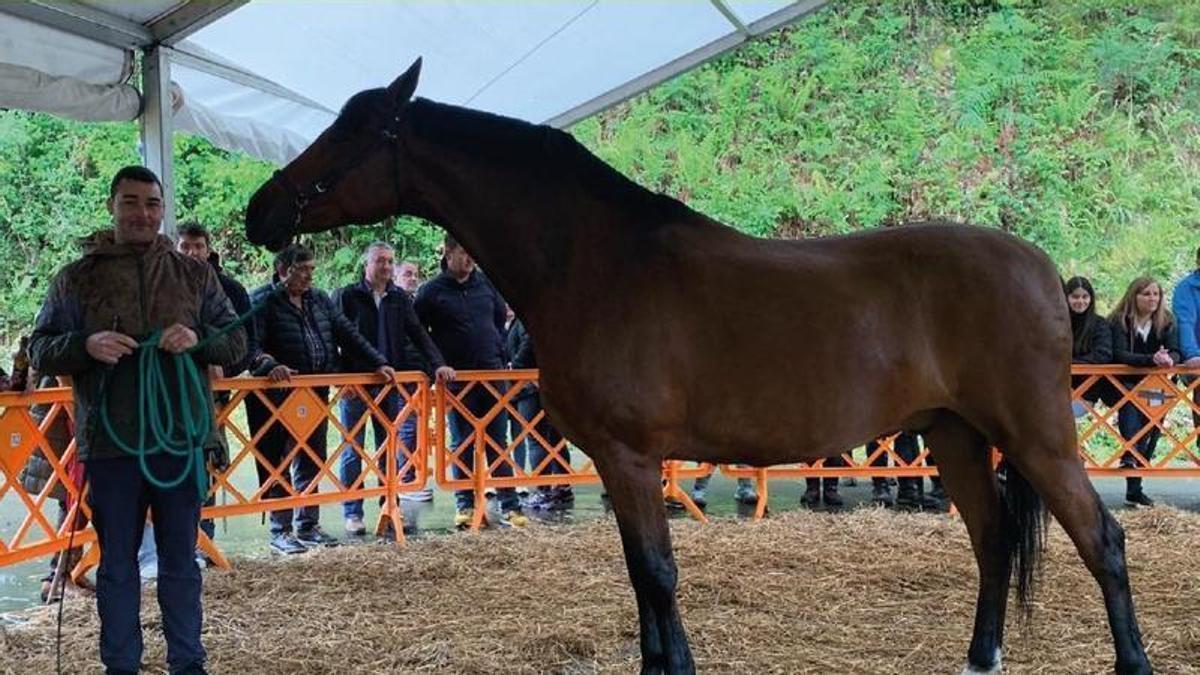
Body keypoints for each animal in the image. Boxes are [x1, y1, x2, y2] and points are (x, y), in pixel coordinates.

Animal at [244, 60, 1152, 675]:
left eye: (352, 130)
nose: (260, 211)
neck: (595, 261)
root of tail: (1041, 269)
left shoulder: (632, 455)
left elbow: (657, 573)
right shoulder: (619, 463)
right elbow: (641, 578)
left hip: (1034, 435)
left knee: (1102, 538)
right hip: (956, 436)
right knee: (993, 540)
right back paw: (978, 655)